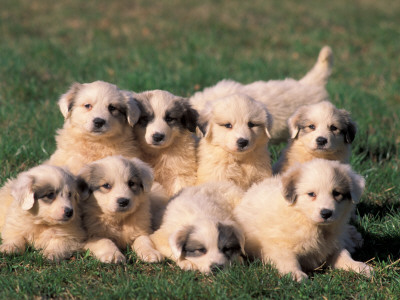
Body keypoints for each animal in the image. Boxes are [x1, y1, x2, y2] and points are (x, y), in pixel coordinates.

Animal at [234, 159, 372, 282]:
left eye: (336, 193)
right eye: (311, 194)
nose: (326, 213)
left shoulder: (333, 245)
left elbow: (345, 255)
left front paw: (360, 267)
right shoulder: (278, 245)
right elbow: (288, 259)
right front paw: (295, 274)